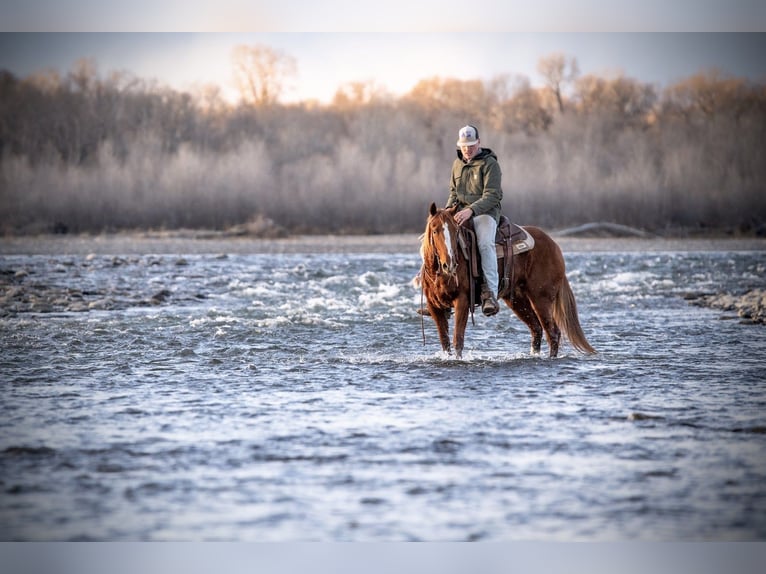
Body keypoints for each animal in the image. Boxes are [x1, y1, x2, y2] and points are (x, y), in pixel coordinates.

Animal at [419, 202, 596, 359]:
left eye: (456, 231)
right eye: (434, 230)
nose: (449, 264)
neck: (439, 275)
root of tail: (554, 245)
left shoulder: (462, 301)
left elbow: (458, 340)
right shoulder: (434, 307)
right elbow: (445, 342)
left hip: (541, 298)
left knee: (552, 332)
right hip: (517, 300)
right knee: (536, 329)